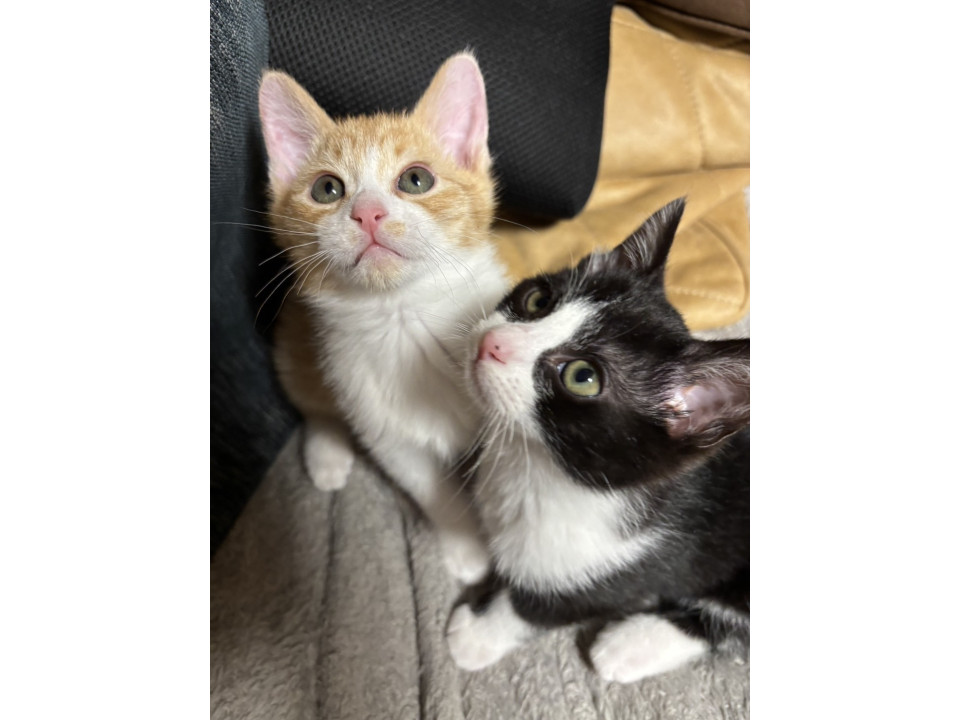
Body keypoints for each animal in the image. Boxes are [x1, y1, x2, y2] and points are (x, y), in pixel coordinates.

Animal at [257, 53, 509, 583]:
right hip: (297, 343)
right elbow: (430, 489)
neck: (403, 317)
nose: (368, 212)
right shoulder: (385, 431)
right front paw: (467, 548)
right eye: (327, 188)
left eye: (416, 179)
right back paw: (327, 453)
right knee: (313, 399)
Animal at [445, 198, 750, 683]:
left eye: (582, 377)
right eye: (538, 299)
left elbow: (541, 604)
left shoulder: (627, 565)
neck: (540, 467)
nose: (492, 341)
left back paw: (627, 646)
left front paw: (477, 635)